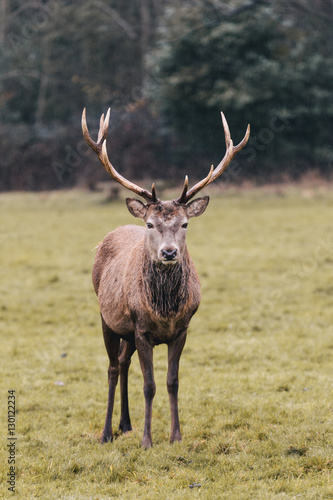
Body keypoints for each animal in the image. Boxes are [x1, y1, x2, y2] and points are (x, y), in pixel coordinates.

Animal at [81, 107, 249, 448]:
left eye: (185, 224)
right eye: (150, 224)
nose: (169, 252)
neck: (164, 312)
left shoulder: (182, 329)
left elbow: (172, 381)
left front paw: (176, 436)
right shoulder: (141, 329)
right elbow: (150, 385)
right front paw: (147, 441)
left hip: (127, 331)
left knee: (124, 362)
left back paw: (126, 424)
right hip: (107, 318)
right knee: (112, 367)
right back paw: (107, 432)